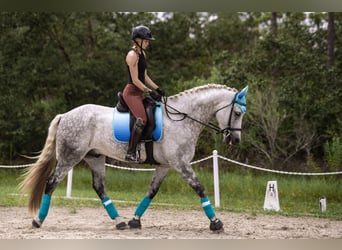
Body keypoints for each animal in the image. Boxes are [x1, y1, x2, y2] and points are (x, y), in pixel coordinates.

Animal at [19, 84, 248, 232]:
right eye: (237, 113)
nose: (235, 139)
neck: (182, 119)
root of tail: (65, 115)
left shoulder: (165, 166)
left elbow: (151, 192)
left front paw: (135, 220)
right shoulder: (180, 163)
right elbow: (199, 189)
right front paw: (216, 222)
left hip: (95, 157)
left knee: (99, 187)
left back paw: (119, 221)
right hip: (70, 157)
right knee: (51, 183)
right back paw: (38, 221)